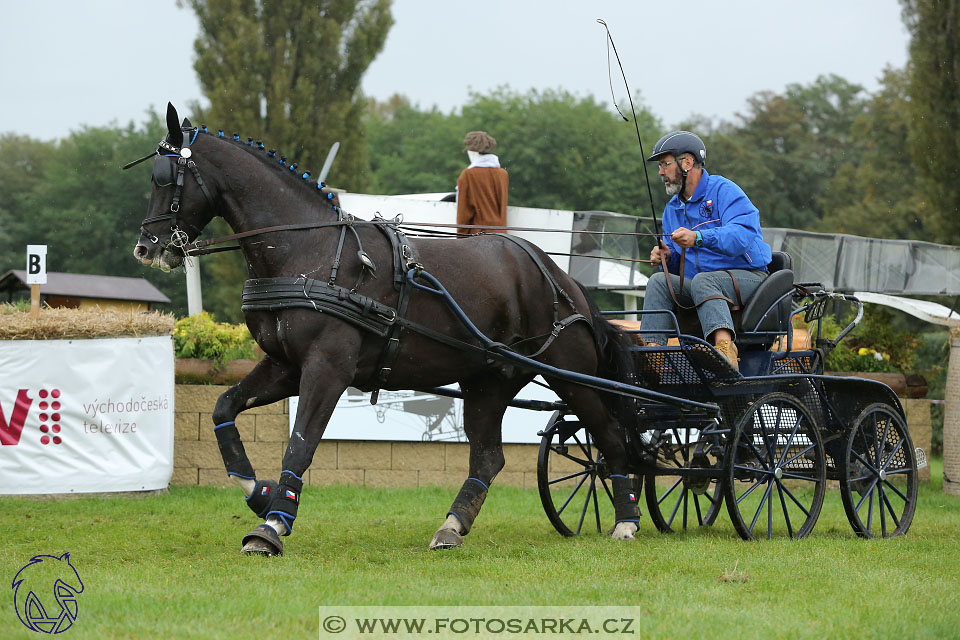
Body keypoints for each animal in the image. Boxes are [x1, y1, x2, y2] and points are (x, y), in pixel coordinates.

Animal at [127, 102, 636, 552]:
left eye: (163, 178)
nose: (146, 248)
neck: (308, 251)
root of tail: (556, 274)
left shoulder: (327, 369)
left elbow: (301, 444)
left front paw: (272, 525)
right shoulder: (285, 366)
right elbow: (224, 408)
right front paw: (260, 493)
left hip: (571, 374)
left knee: (611, 435)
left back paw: (627, 521)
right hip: (488, 379)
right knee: (489, 457)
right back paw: (451, 526)